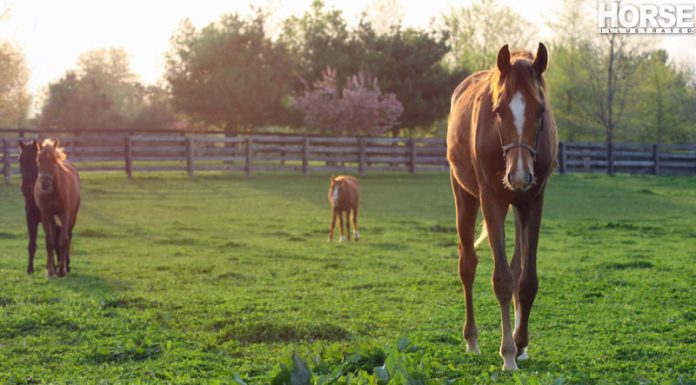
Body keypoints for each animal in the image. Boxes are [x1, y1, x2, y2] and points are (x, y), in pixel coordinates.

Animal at [18, 140, 60, 274]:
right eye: (20, 160)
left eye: (35, 160)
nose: (25, 188)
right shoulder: (31, 218)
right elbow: (32, 245)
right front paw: (30, 269)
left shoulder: (51, 220)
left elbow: (53, 243)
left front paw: (54, 267)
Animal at [33, 138, 80, 276]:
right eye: (38, 160)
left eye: (54, 160)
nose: (45, 184)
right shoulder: (45, 215)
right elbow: (50, 241)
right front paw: (50, 270)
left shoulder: (65, 214)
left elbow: (63, 240)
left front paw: (61, 270)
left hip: (73, 215)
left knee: (68, 236)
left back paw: (66, 265)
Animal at [448, 42, 556, 368]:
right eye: (498, 110)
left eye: (540, 109)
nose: (519, 175)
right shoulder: (491, 200)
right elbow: (503, 280)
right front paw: (508, 352)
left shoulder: (533, 201)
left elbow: (527, 280)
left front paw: (521, 343)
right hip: (465, 196)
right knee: (467, 265)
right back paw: (471, 339)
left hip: (518, 205)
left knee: (517, 265)